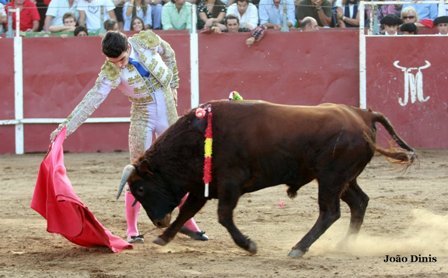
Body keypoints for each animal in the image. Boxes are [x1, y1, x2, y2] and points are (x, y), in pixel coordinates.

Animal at [116, 101, 416, 258]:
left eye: (140, 188)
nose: (158, 221)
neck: (198, 138)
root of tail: (362, 114)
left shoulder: (230, 185)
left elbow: (224, 216)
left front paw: (248, 245)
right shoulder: (204, 186)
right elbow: (186, 211)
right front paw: (163, 237)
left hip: (331, 178)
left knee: (330, 212)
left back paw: (299, 248)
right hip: (343, 179)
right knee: (359, 202)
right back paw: (345, 244)